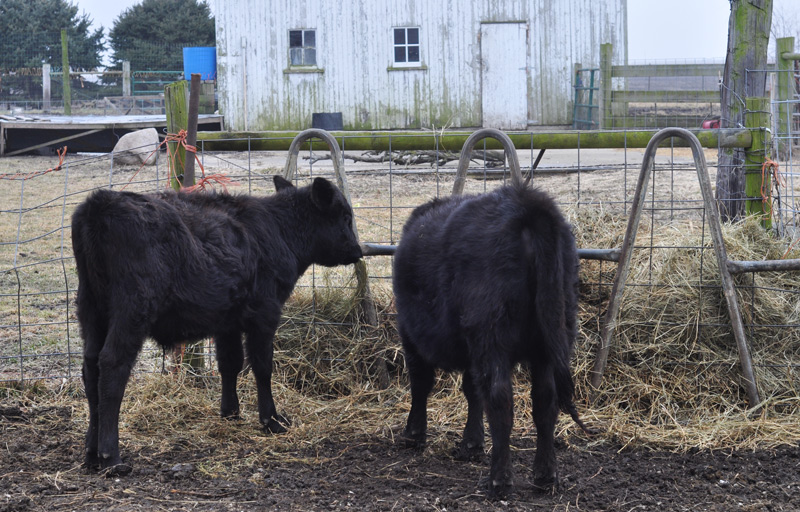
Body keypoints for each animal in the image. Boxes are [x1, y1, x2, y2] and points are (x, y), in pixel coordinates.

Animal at [71, 176, 362, 475]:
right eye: (345, 216)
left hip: (91, 310)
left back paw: (91, 453)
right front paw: (271, 420)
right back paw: (111, 456)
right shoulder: (265, 313)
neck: (278, 230)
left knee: (91, 368)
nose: (357, 251)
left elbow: (230, 364)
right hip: (132, 309)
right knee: (112, 365)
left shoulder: (227, 321)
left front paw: (230, 412)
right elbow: (262, 366)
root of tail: (101, 202)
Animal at [392, 182, 592, 498]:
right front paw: (472, 443)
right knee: (545, 401)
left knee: (500, 399)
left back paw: (499, 480)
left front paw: (414, 434)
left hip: (491, 335)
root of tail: (527, 204)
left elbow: (421, 384)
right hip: (553, 335)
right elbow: (472, 390)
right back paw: (545, 475)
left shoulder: (410, 334)